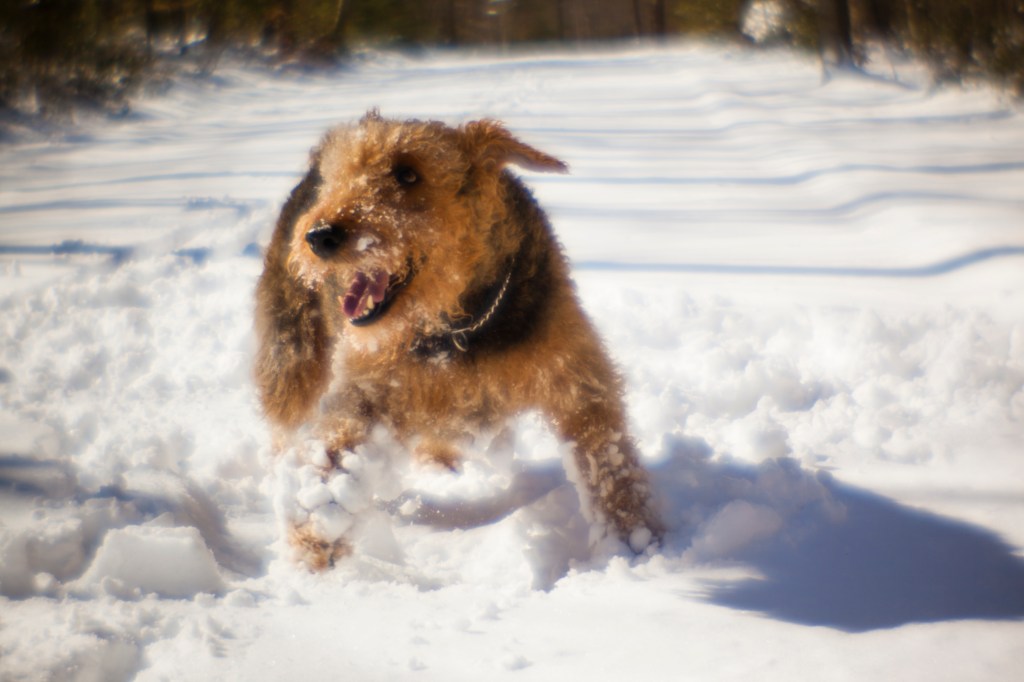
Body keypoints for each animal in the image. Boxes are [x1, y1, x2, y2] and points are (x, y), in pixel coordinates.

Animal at [251, 112, 659, 569]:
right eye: (341, 175)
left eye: (408, 174)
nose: (320, 236)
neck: (459, 328)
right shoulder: (368, 387)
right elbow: (337, 448)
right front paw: (316, 532)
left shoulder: (576, 379)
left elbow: (608, 460)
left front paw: (635, 542)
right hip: (292, 357)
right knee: (284, 429)